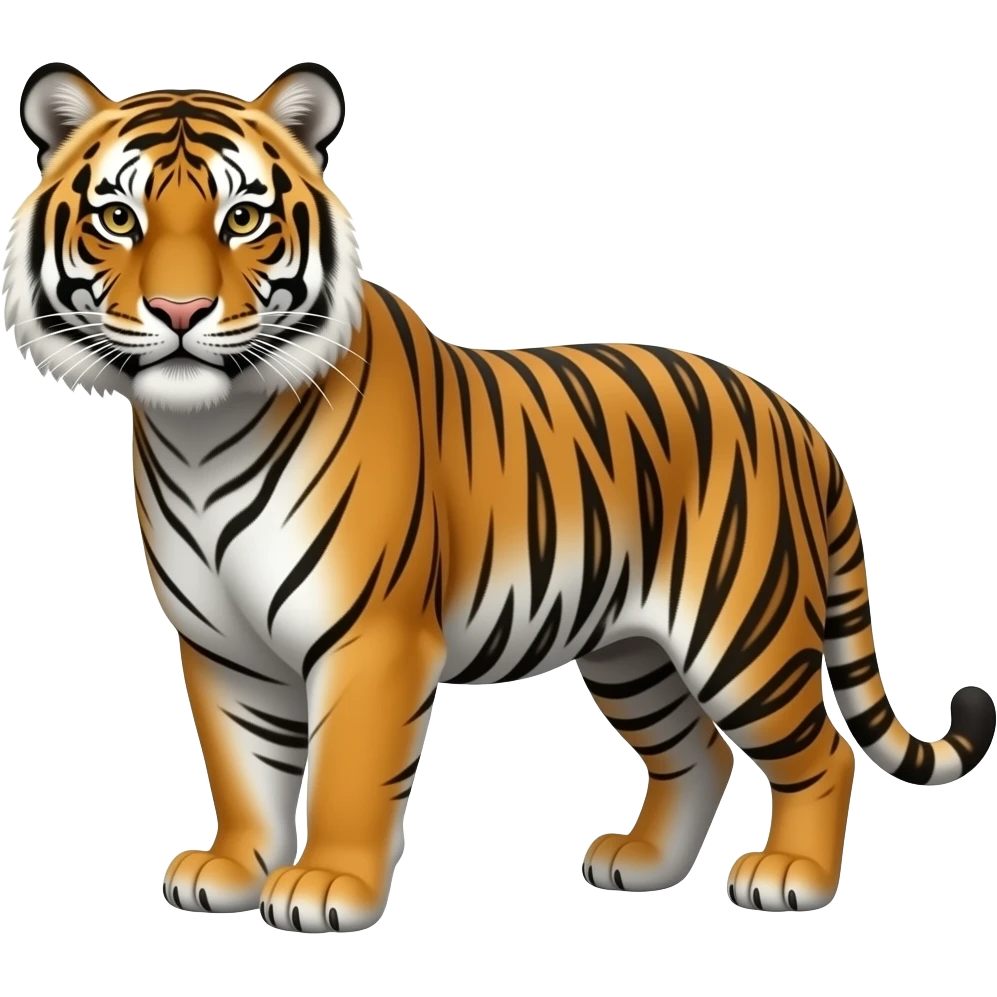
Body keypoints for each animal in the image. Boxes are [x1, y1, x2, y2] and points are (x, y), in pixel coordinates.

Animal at [4, 60, 994, 935]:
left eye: (242, 217)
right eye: (119, 218)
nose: (179, 313)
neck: (200, 435)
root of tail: (794, 418)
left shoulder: (372, 637)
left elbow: (346, 772)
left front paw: (325, 886)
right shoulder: (223, 646)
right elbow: (243, 767)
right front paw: (230, 869)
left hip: (740, 631)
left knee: (820, 752)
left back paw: (791, 877)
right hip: (632, 651)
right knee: (695, 749)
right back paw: (641, 864)